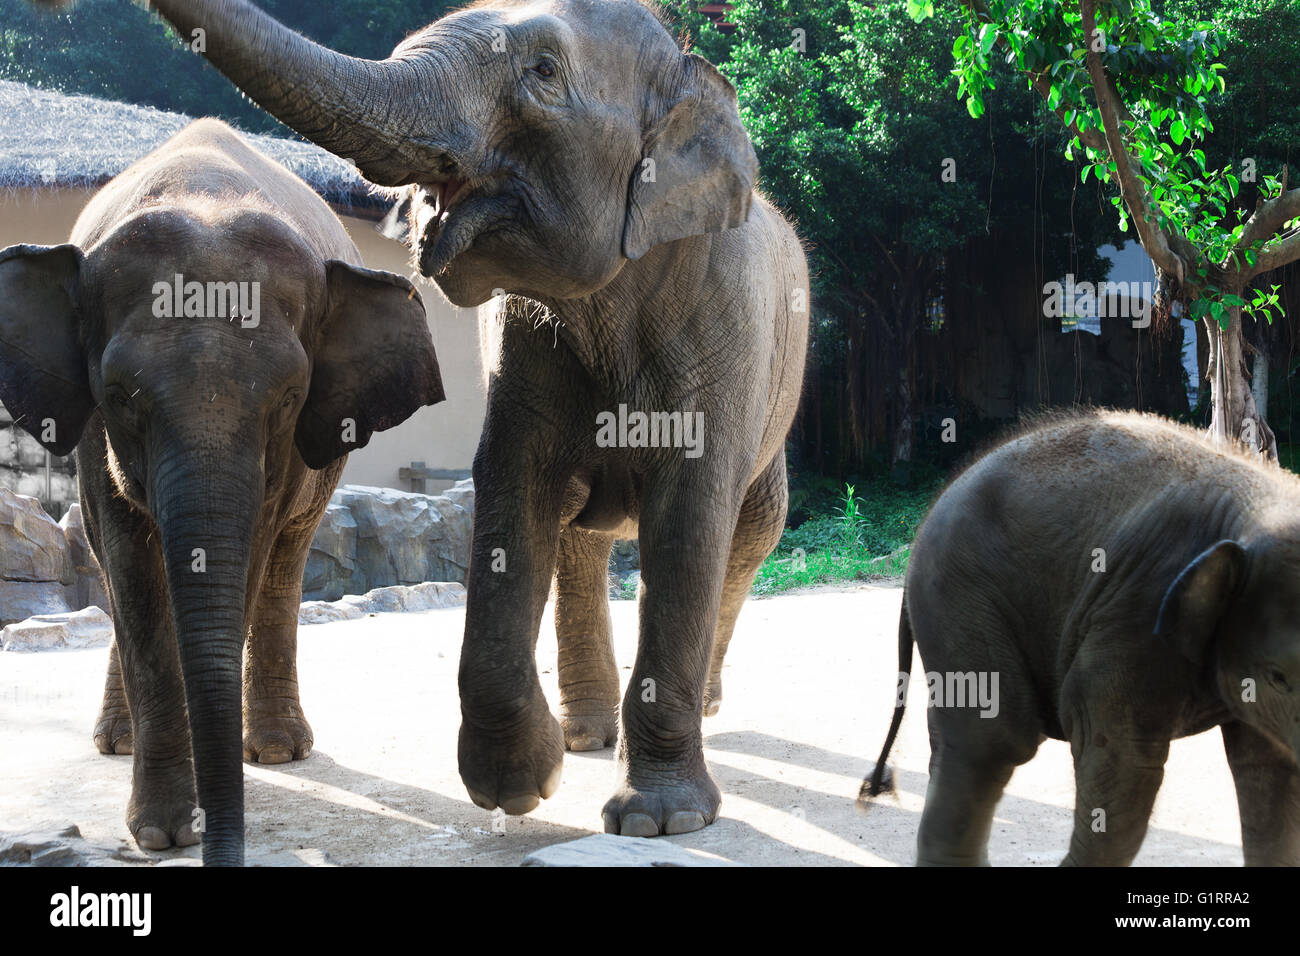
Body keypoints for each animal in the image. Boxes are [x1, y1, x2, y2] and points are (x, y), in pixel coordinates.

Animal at [0, 119, 444, 868]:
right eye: (119, 395)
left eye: (289, 396)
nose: (215, 839)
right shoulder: (91, 432)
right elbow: (128, 565)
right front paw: (162, 832)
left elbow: (247, 556)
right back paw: (118, 743)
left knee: (285, 564)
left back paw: (278, 751)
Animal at [86, 0, 806, 837]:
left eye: (544, 72)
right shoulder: (522, 348)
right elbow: (511, 491)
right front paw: (520, 788)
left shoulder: (726, 333)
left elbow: (690, 522)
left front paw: (657, 822)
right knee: (584, 540)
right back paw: (587, 737)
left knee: (749, 534)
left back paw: (705, 708)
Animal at [863, 411, 1300, 868]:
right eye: (1277, 677)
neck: (1255, 507)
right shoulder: (1136, 612)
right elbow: (1121, 755)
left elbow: (1268, 769)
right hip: (959, 594)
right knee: (992, 740)